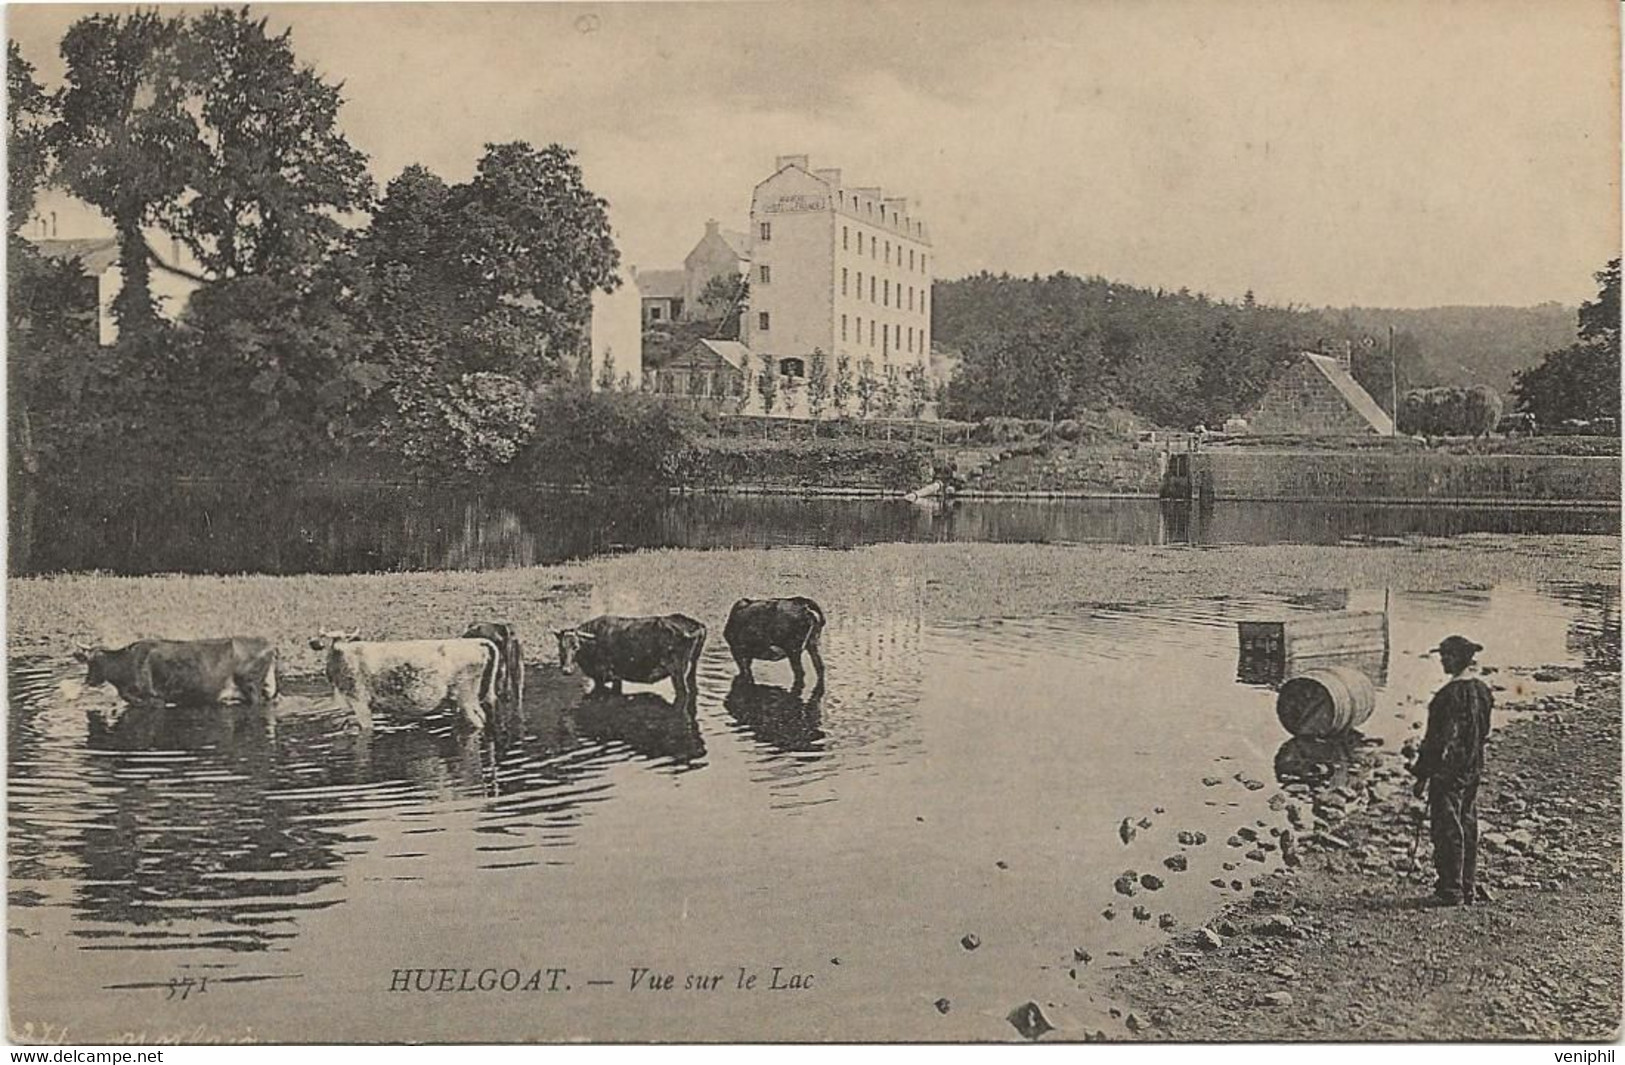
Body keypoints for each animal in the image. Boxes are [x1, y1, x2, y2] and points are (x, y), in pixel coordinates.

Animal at [310, 634, 497, 734]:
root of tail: (475, 642)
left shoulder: (359, 702)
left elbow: (366, 727)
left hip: (466, 696)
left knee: (478, 721)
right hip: (466, 699)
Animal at [555, 611, 708, 712]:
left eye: (576, 646)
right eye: (560, 646)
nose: (566, 670)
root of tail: (697, 625)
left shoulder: (604, 676)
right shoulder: (615, 677)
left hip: (677, 671)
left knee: (683, 693)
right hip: (692, 666)